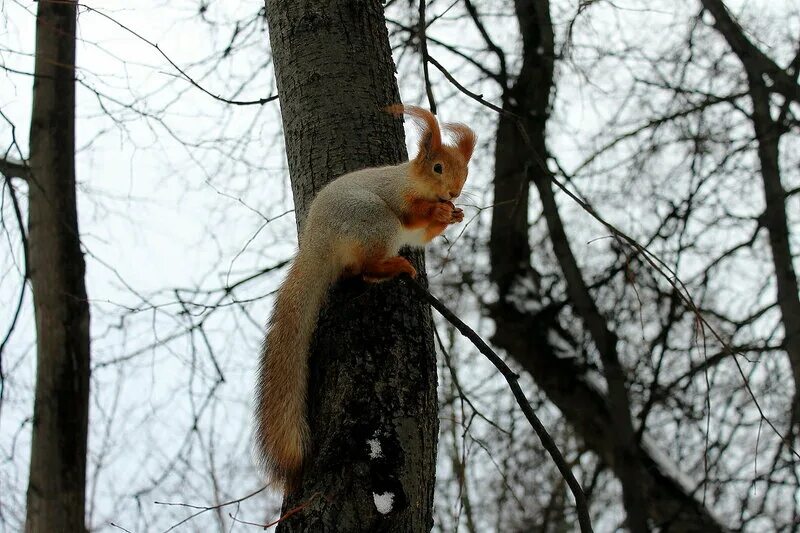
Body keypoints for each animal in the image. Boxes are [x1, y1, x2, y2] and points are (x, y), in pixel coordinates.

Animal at [253, 105, 476, 490]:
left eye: (465, 169)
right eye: (437, 167)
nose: (455, 192)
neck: (413, 180)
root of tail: (317, 243)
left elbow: (424, 234)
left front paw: (455, 215)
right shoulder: (398, 196)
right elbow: (413, 213)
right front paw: (438, 212)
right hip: (375, 221)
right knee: (367, 267)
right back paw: (394, 265)